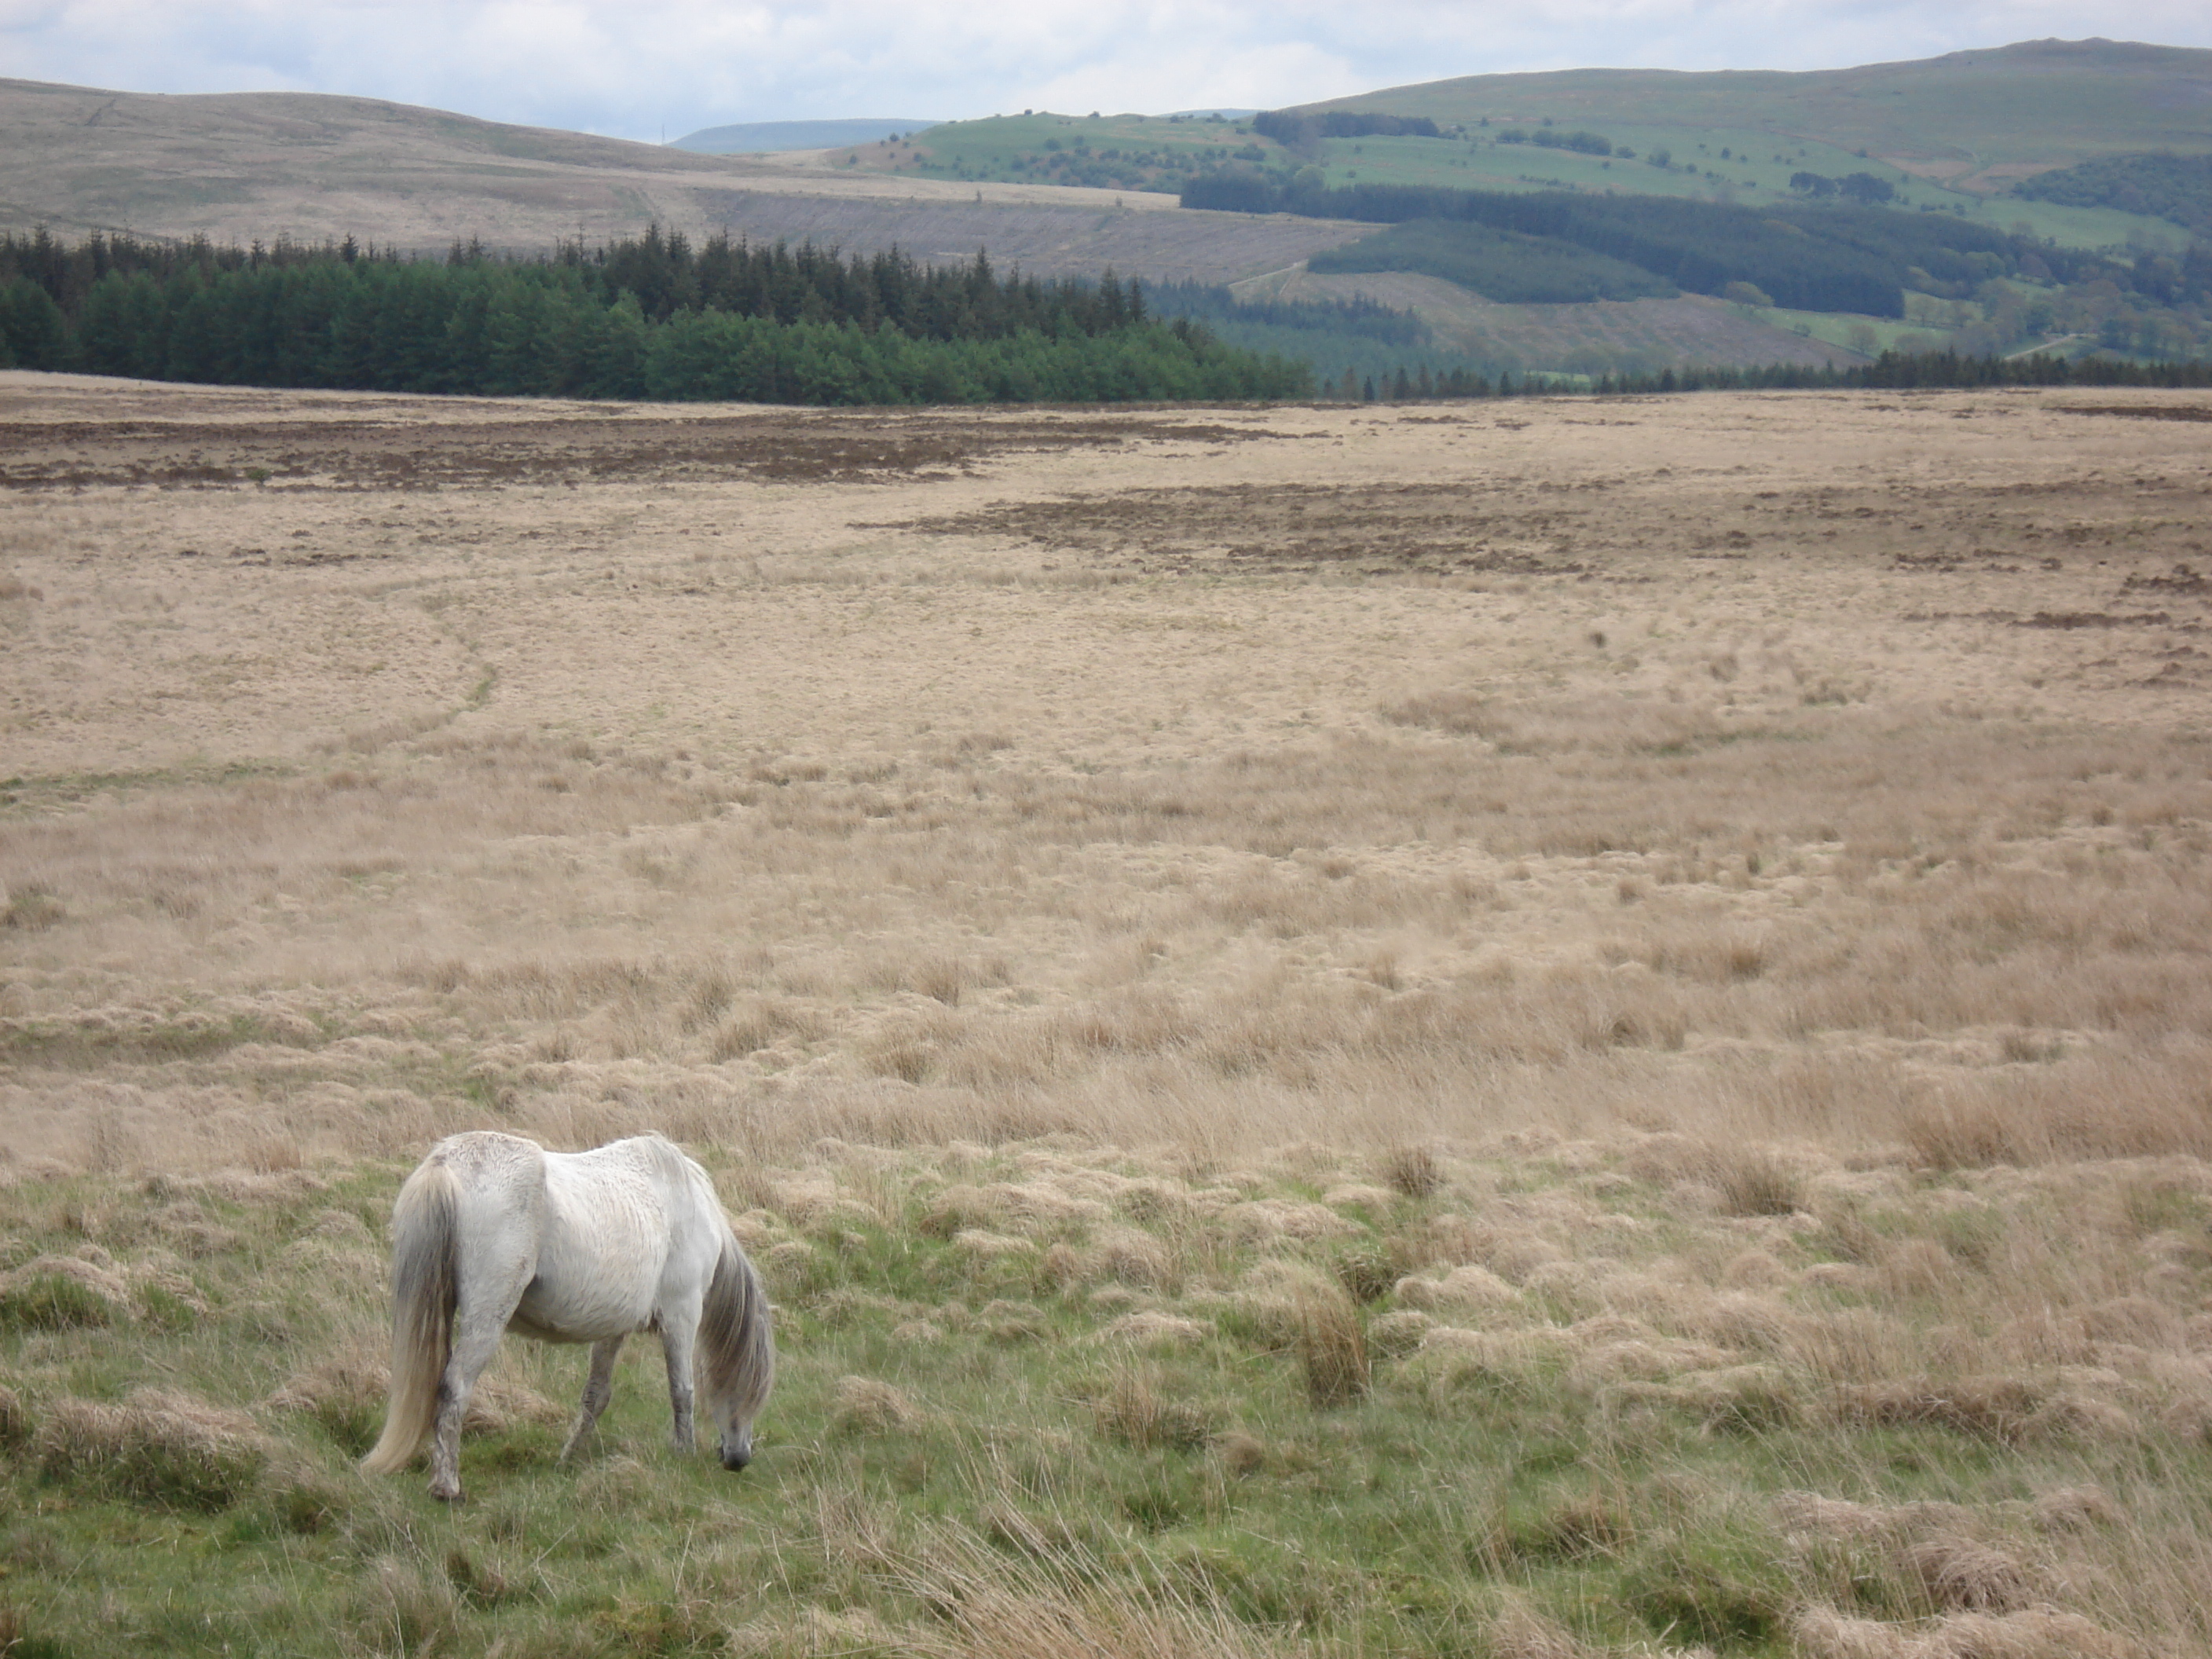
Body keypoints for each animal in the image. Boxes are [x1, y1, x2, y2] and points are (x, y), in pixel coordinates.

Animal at [362, 1132, 778, 1503]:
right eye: (752, 1391)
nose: (738, 1458)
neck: (687, 1203)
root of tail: (446, 1163)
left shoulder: (614, 1329)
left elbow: (596, 1396)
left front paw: (568, 1460)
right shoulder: (682, 1315)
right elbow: (683, 1391)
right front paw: (684, 1455)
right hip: (487, 1318)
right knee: (454, 1387)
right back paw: (447, 1488)